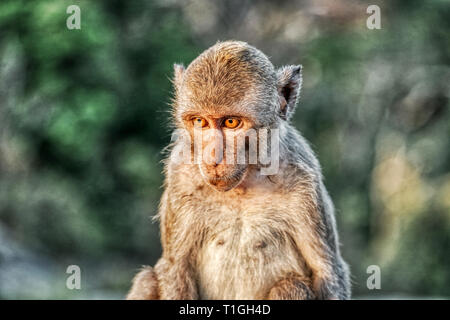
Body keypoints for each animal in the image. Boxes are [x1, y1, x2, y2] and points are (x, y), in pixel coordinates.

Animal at [126, 40, 352, 300]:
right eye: (200, 122)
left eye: (231, 122)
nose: (213, 158)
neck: (243, 185)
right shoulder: (180, 177)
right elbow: (176, 266)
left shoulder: (305, 183)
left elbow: (327, 272)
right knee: (148, 279)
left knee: (291, 285)